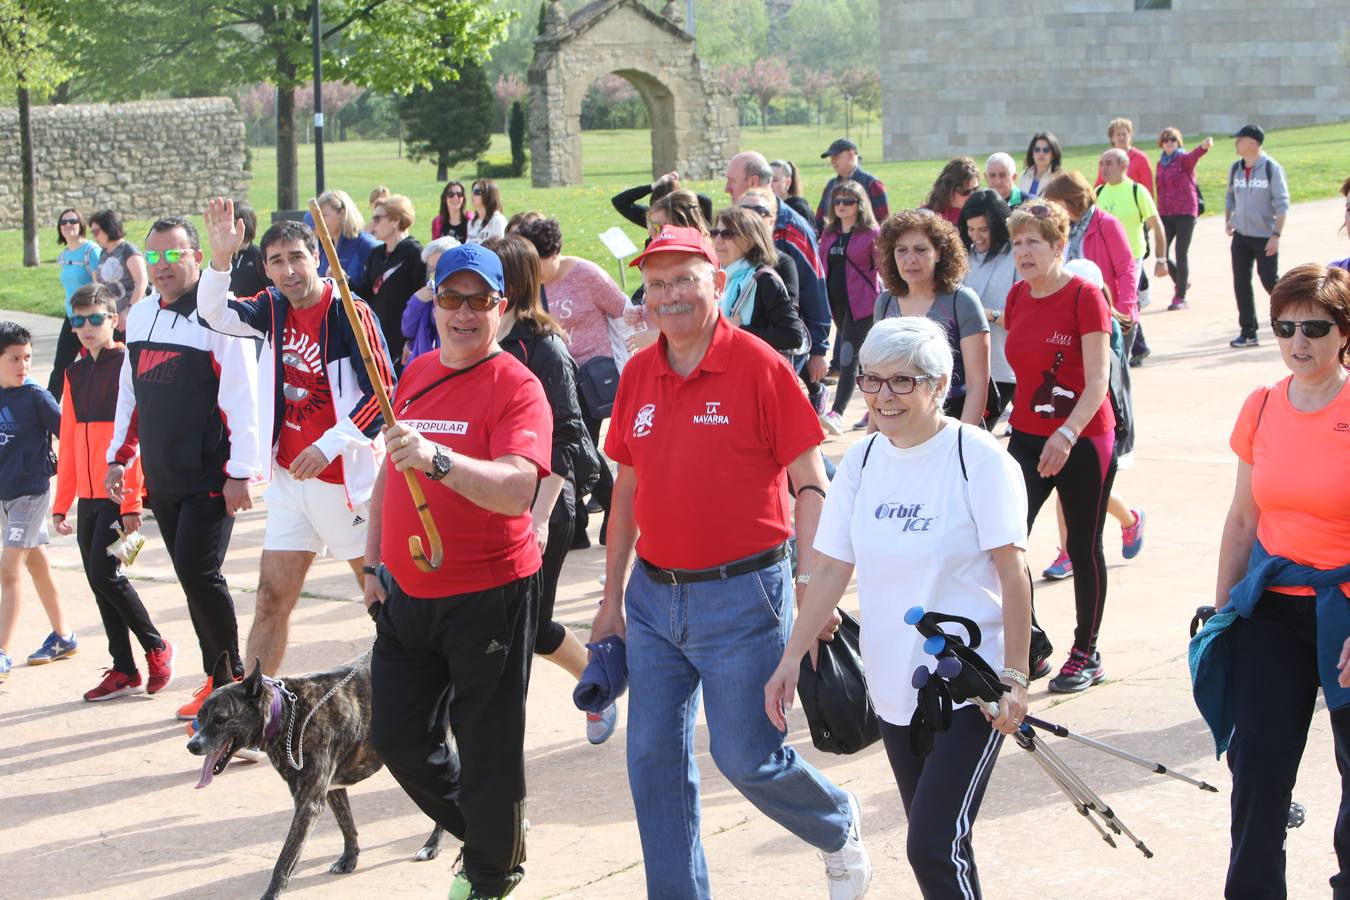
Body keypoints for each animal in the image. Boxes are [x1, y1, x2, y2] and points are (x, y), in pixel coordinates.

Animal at [187, 655, 442, 900]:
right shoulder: (331, 790)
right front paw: (350, 858)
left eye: (220, 719)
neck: (287, 714)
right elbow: (346, 824)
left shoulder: (308, 805)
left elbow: (284, 860)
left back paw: (432, 846)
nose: (192, 745)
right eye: (200, 716)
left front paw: (271, 893)